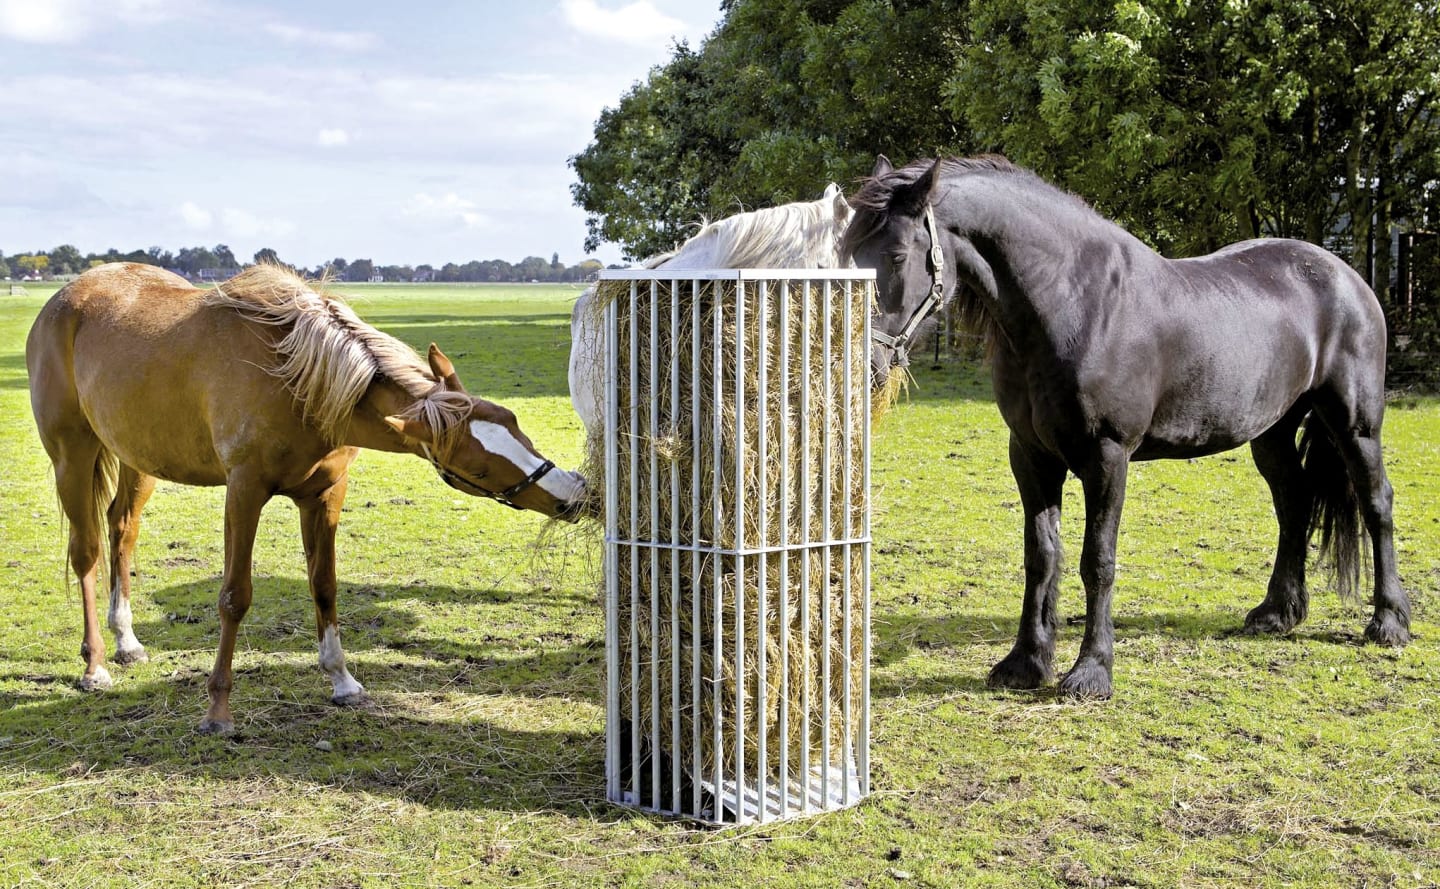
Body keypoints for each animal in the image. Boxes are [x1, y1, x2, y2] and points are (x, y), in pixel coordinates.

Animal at [26, 263, 587, 733]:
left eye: (512, 420)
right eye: (476, 467)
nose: (574, 495)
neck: (298, 379)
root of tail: (66, 297)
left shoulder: (323, 496)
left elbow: (325, 586)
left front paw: (343, 681)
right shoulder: (244, 492)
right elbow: (234, 597)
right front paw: (217, 709)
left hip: (137, 461)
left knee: (122, 530)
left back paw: (127, 641)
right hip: (72, 455)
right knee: (87, 553)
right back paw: (96, 665)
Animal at [842, 155, 1411, 700]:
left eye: (896, 256)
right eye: (847, 250)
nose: (861, 364)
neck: (1073, 306)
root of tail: (1344, 274)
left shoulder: (1107, 456)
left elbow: (1098, 560)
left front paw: (1091, 672)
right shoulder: (1030, 456)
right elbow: (1041, 556)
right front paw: (1026, 663)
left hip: (1355, 424)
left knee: (1376, 503)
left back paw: (1388, 621)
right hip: (1270, 433)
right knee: (1293, 503)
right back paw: (1277, 613)